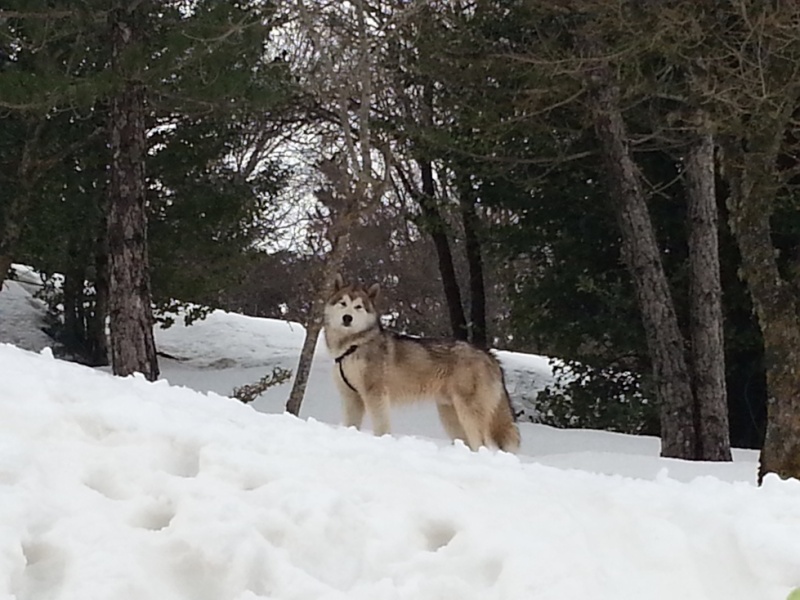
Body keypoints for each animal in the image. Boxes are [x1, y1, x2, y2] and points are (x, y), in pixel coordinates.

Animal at [322, 274, 520, 452]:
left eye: (358, 307)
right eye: (343, 303)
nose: (347, 318)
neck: (352, 345)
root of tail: (489, 355)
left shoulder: (376, 395)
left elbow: (381, 428)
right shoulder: (351, 397)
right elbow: (350, 425)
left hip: (468, 414)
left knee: (481, 444)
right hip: (450, 416)